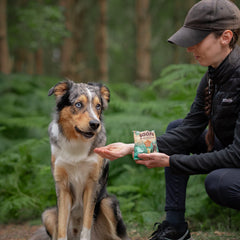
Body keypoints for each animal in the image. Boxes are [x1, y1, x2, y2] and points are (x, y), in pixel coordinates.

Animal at [30, 79, 129, 239]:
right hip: (48, 214)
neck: (76, 142)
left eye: (98, 106)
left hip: (109, 203)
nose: (95, 124)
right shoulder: (62, 185)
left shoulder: (92, 184)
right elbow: (62, 227)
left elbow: (87, 223)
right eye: (78, 104)